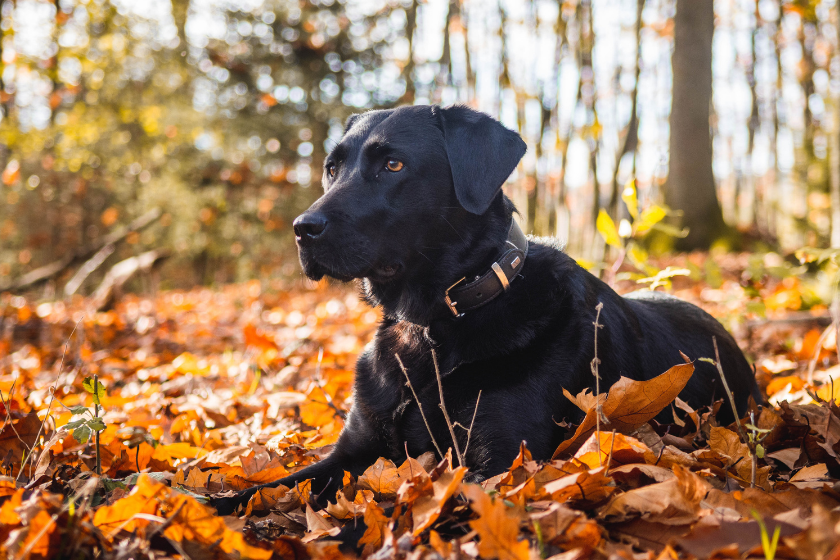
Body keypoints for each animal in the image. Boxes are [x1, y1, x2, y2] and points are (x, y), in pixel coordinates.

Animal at [212, 105, 760, 516]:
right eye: (332, 167)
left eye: (393, 165)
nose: (302, 228)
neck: (431, 326)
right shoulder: (355, 448)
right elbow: (263, 489)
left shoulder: (498, 464)